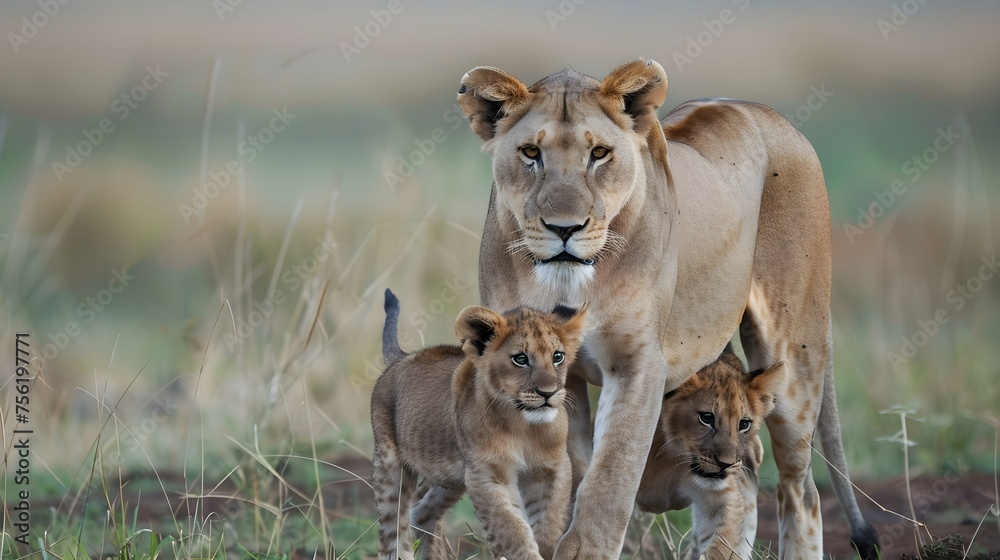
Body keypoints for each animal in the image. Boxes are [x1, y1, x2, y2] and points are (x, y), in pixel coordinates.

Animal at [370, 289, 587, 560]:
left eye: (558, 357)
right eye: (520, 359)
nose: (548, 393)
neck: (524, 427)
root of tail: (401, 358)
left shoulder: (552, 470)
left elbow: (549, 527)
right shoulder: (486, 475)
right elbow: (512, 530)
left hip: (450, 478)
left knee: (421, 512)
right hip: (391, 467)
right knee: (393, 531)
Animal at [637, 347, 784, 560]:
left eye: (744, 424)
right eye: (706, 418)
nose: (726, 464)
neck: (671, 457)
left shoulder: (723, 498)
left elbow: (721, 544)